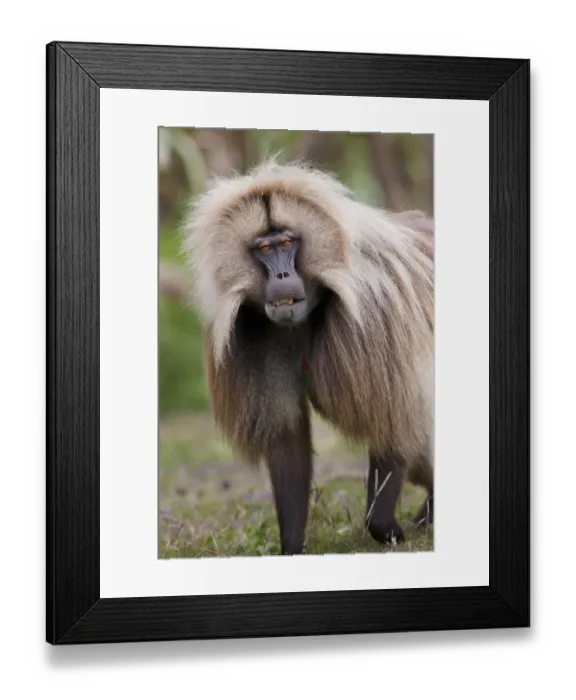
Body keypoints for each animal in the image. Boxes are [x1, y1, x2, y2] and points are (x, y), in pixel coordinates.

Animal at [181, 159, 434, 555]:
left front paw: (385, 527)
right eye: (263, 249)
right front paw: (291, 547)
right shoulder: (257, 334)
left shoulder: (375, 315)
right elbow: (287, 440)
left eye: (287, 243)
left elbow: (393, 416)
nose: (283, 275)